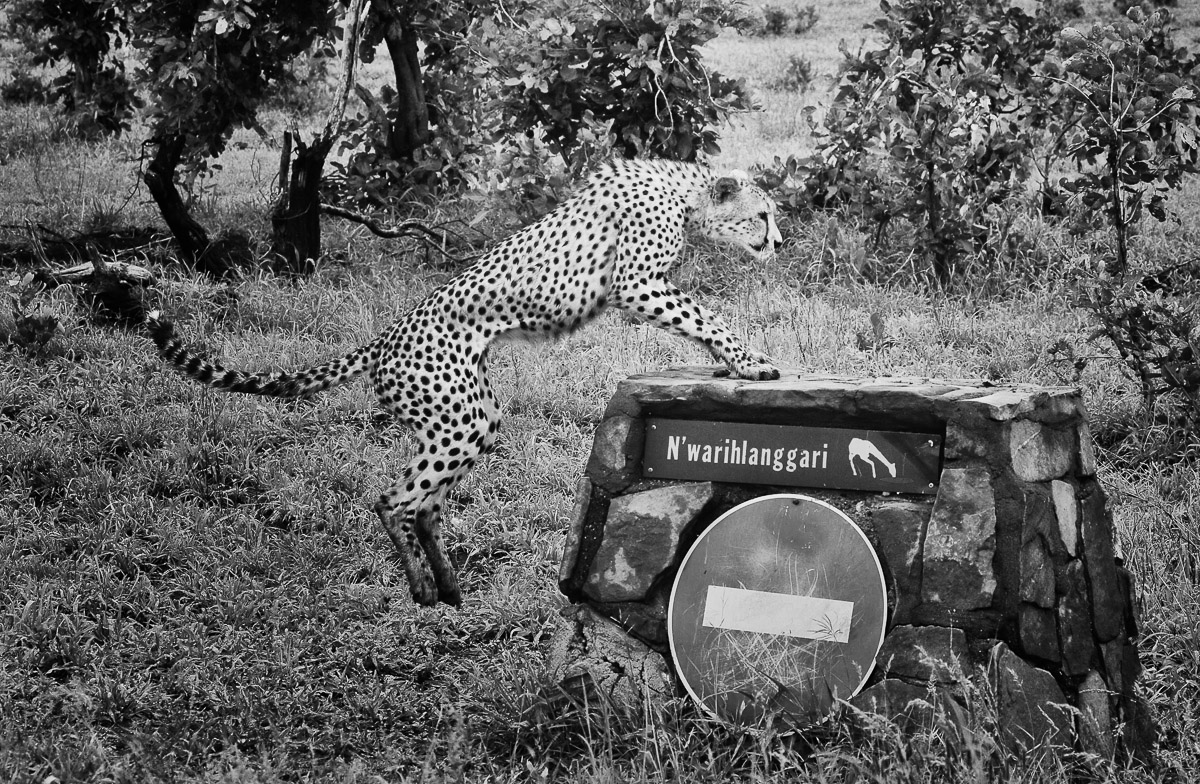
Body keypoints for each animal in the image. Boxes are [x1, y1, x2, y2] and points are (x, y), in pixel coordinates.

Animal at [147, 158, 783, 608]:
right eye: (763, 215)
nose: (778, 243)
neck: (685, 191)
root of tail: (385, 337)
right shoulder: (638, 284)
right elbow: (706, 318)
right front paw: (750, 363)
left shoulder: (647, 285)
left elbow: (702, 325)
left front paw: (737, 362)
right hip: (461, 418)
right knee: (393, 499)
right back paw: (425, 589)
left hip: (472, 416)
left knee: (425, 503)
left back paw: (449, 585)